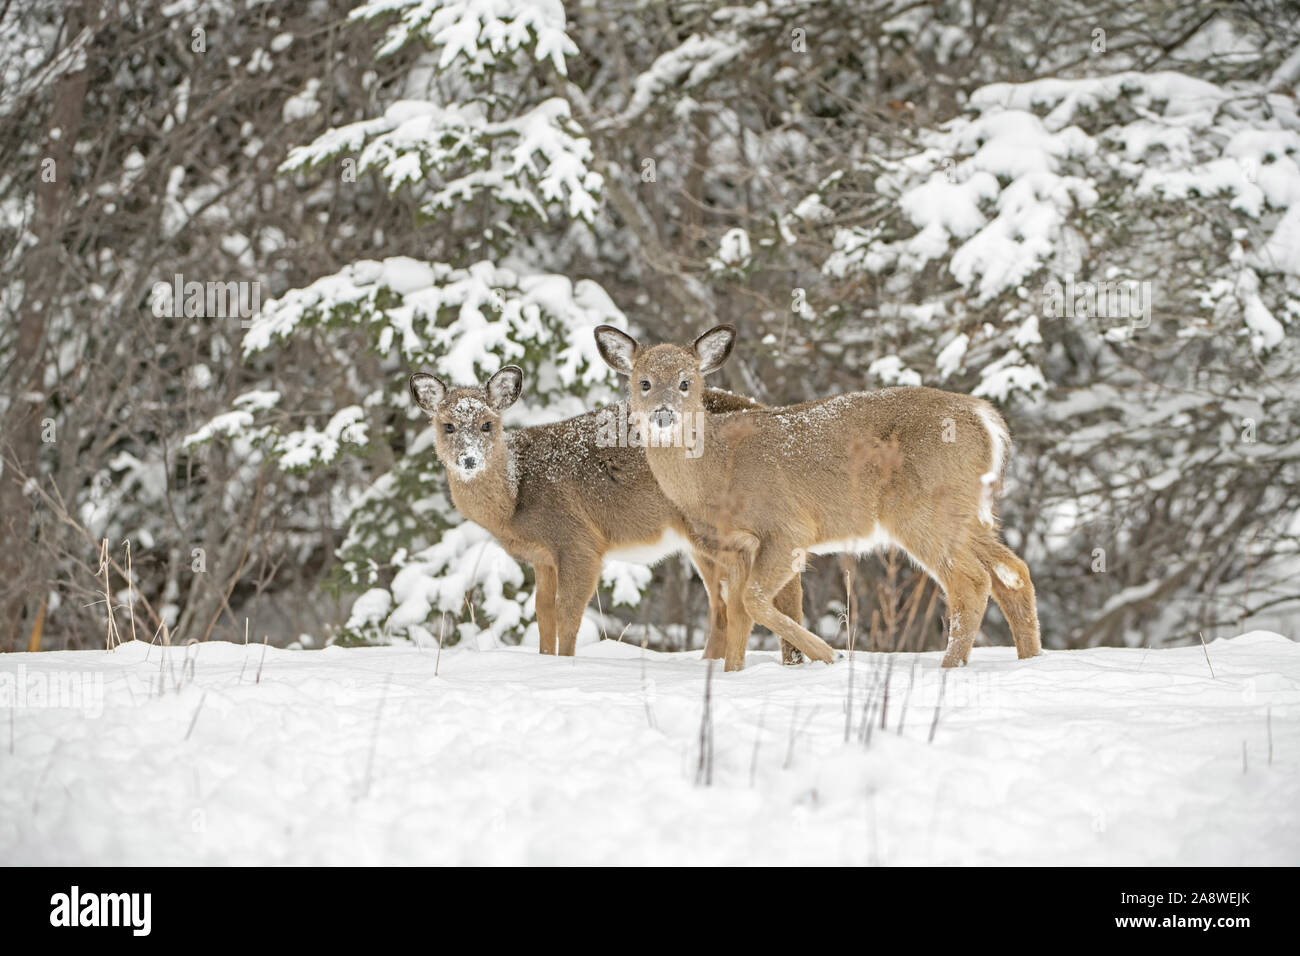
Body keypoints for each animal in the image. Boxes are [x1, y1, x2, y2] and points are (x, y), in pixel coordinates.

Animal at [410, 361, 806, 660]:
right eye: (447, 425)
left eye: (487, 424)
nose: (469, 459)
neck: (516, 495)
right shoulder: (542, 557)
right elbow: (543, 615)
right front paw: (544, 661)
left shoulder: (578, 541)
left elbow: (569, 615)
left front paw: (564, 665)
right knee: (723, 608)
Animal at [595, 325, 1040, 676]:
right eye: (643, 382)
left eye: (687, 382)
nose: (664, 414)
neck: (718, 468)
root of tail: (988, 419)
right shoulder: (737, 545)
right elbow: (737, 614)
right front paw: (734, 674)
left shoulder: (788, 529)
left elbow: (752, 601)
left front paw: (830, 655)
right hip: (969, 513)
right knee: (1013, 571)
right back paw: (1029, 659)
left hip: (924, 510)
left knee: (972, 580)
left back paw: (949, 667)